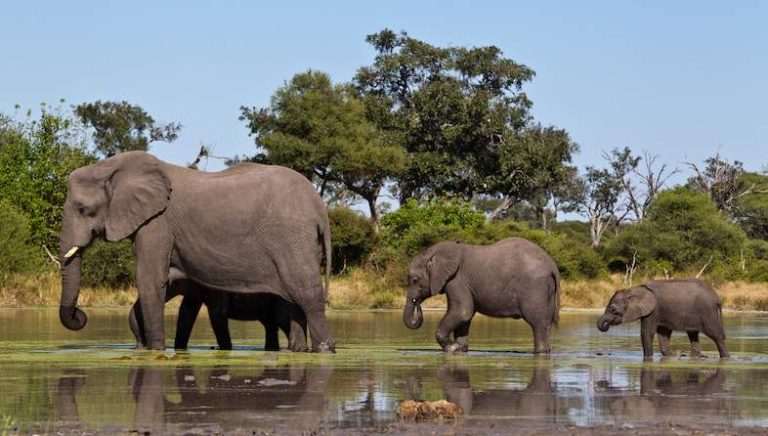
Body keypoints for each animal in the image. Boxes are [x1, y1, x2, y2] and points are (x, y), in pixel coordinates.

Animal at [128, 276, 307, 351]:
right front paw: (179, 348)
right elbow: (186, 311)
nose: (139, 343)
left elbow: (216, 314)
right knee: (270, 326)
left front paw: (225, 350)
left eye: (167, 283)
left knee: (282, 322)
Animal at [403, 238, 560, 354]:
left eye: (415, 280)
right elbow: (465, 317)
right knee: (546, 323)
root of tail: (552, 265)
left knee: (537, 323)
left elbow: (463, 311)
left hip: (534, 287)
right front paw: (460, 349)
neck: (433, 253)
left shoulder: (457, 280)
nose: (417, 303)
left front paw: (452, 348)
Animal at [596, 279, 729, 358]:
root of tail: (717, 298)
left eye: (613, 309)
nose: (606, 324)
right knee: (693, 335)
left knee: (716, 335)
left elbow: (646, 333)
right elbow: (663, 335)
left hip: (708, 312)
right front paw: (671, 356)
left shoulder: (653, 310)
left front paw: (648, 358)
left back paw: (726, 357)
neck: (635, 289)